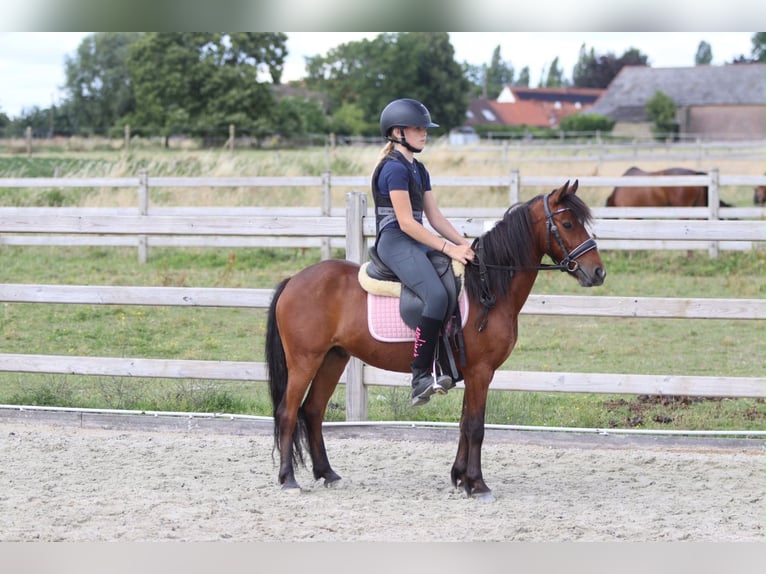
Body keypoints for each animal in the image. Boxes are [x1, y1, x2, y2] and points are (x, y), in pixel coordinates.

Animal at [266, 180, 606, 501]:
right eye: (567, 224)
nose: (598, 272)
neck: (487, 288)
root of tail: (293, 281)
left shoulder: (475, 373)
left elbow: (464, 424)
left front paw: (461, 477)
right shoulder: (481, 371)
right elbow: (476, 427)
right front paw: (478, 485)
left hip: (333, 358)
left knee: (312, 411)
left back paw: (327, 474)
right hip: (305, 361)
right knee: (288, 412)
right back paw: (288, 479)